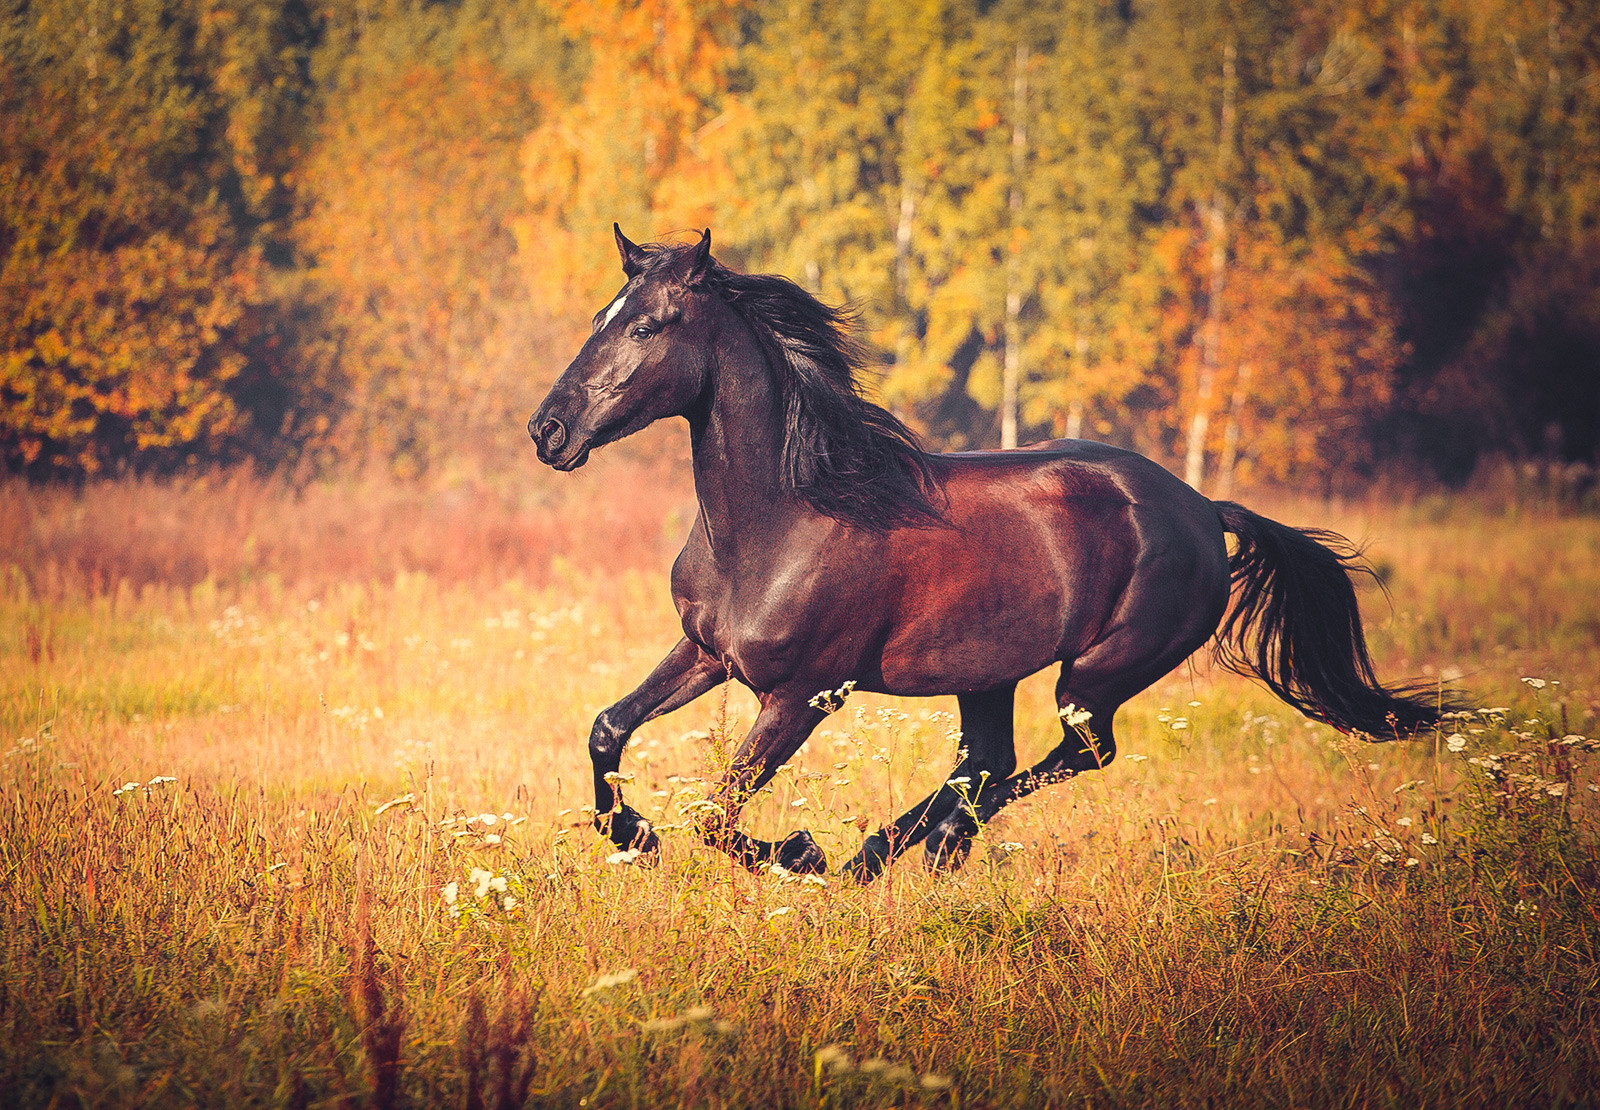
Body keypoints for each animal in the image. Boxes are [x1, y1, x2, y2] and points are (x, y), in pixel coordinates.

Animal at [528, 228, 1452, 889]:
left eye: (648, 324)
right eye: (600, 317)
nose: (549, 431)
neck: (783, 517)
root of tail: (1202, 510)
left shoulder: (804, 695)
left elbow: (717, 816)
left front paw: (799, 851)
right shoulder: (705, 652)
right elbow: (608, 729)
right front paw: (633, 837)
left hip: (1098, 672)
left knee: (1070, 756)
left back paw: (888, 852)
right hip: (989, 672)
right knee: (988, 764)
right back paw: (916, 849)